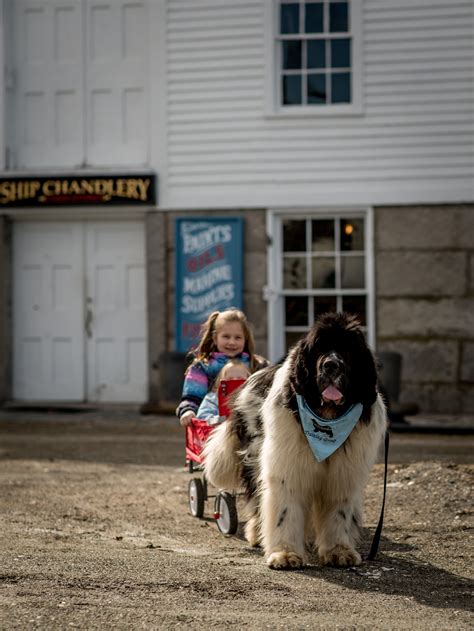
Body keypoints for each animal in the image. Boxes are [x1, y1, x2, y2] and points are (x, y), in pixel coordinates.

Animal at [202, 314, 386, 572]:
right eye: (319, 348)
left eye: (347, 349)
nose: (331, 365)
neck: (328, 417)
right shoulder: (287, 468)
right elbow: (284, 511)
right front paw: (285, 553)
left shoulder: (343, 474)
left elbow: (339, 513)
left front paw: (338, 550)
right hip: (255, 455)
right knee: (258, 498)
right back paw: (258, 534)